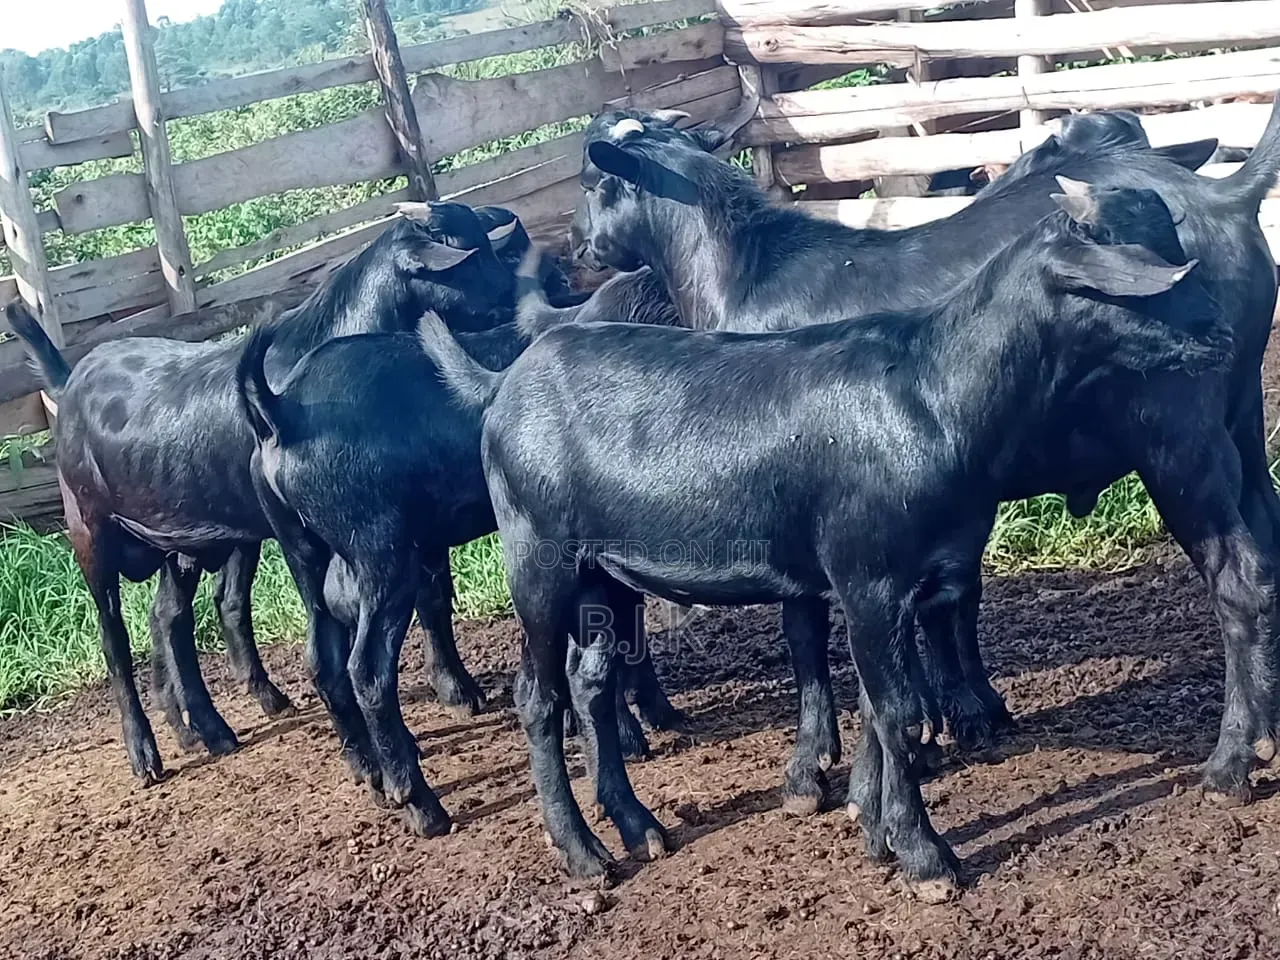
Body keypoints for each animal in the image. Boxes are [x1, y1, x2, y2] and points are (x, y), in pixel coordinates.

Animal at [5, 202, 517, 785]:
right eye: (470, 255)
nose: (542, 284)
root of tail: (70, 381)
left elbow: (433, 596)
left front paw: (456, 690)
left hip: (183, 543)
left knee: (169, 618)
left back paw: (206, 729)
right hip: (89, 533)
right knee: (115, 637)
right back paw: (146, 752)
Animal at [418, 182, 1227, 900]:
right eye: (1151, 274)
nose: (1220, 338)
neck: (936, 394)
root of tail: (504, 383)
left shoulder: (907, 581)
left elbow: (882, 706)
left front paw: (876, 829)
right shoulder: (868, 574)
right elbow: (898, 711)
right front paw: (926, 857)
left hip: (605, 574)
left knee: (589, 684)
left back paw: (639, 827)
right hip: (538, 557)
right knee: (537, 697)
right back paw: (583, 855)